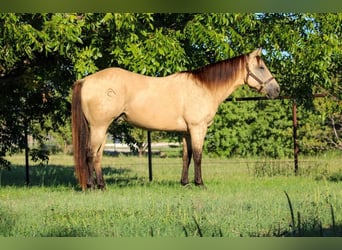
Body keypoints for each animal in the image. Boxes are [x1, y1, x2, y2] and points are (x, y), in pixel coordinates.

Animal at [71, 48, 280, 189]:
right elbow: (198, 156)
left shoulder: (187, 132)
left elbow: (187, 156)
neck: (204, 87)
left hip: (102, 128)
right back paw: (91, 186)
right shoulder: (198, 128)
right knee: (90, 154)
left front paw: (185, 183)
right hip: (99, 127)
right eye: (262, 67)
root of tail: (86, 80)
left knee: (97, 155)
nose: (276, 90)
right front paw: (200, 183)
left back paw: (102, 185)